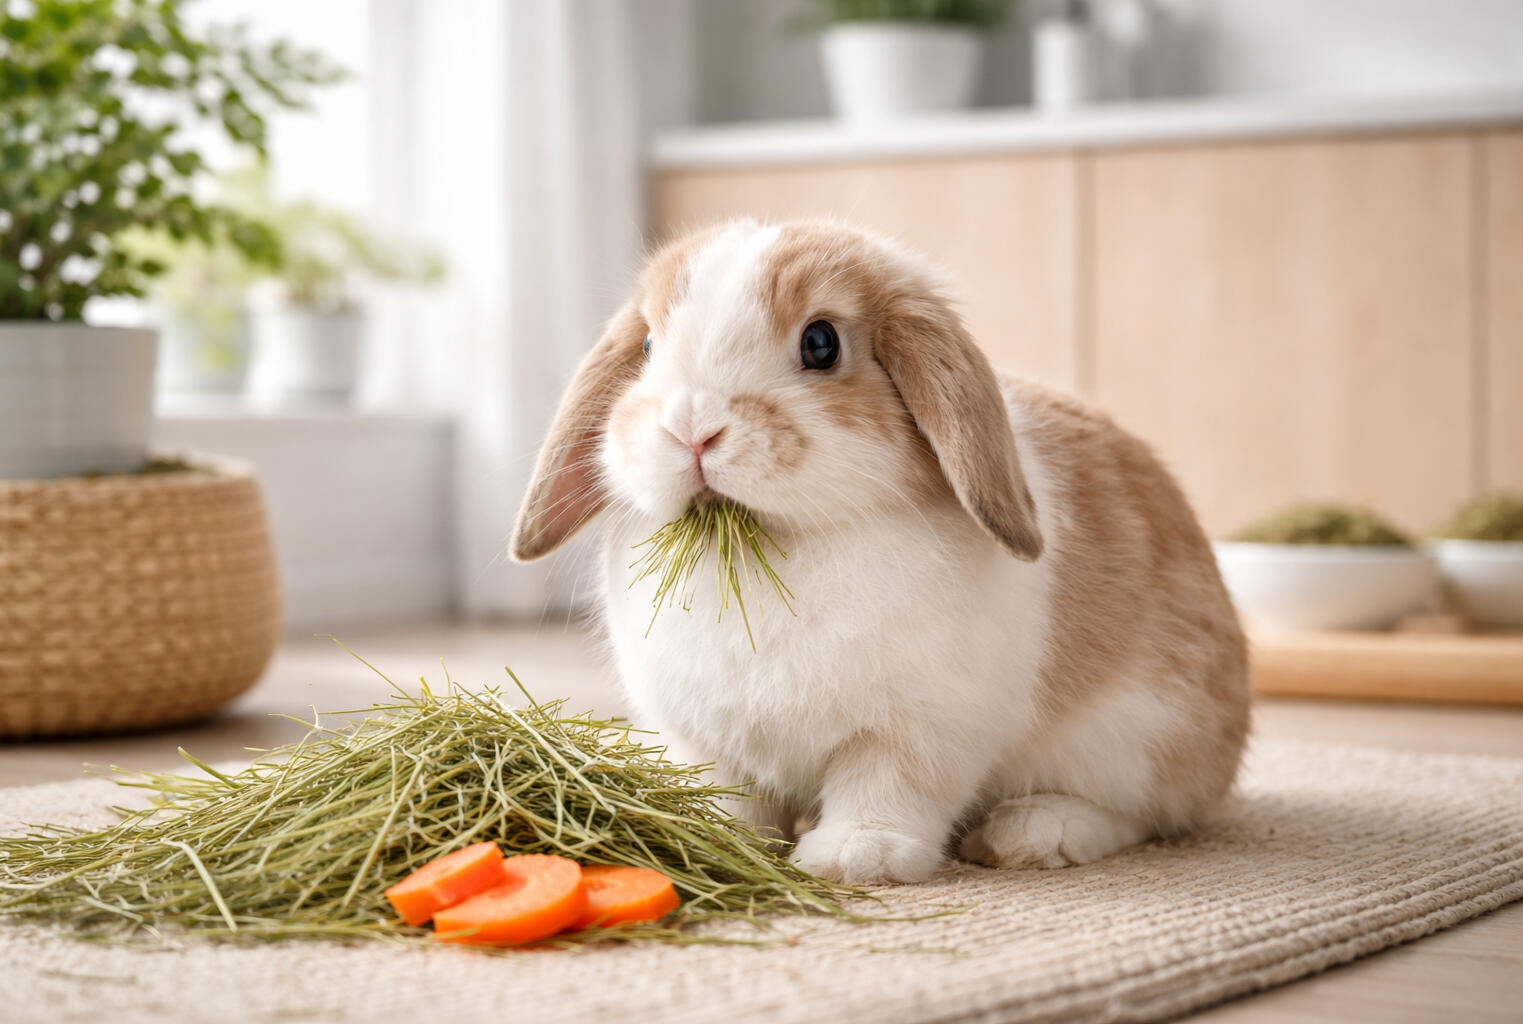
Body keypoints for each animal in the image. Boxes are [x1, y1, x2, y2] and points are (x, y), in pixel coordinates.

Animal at [510, 219, 1249, 885]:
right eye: (647, 344)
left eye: (820, 343)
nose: (692, 429)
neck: (777, 545)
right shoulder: (707, 738)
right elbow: (733, 798)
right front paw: (714, 837)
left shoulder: (917, 731)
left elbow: (888, 788)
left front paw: (854, 858)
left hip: (1139, 737)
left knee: (1145, 813)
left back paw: (1029, 834)